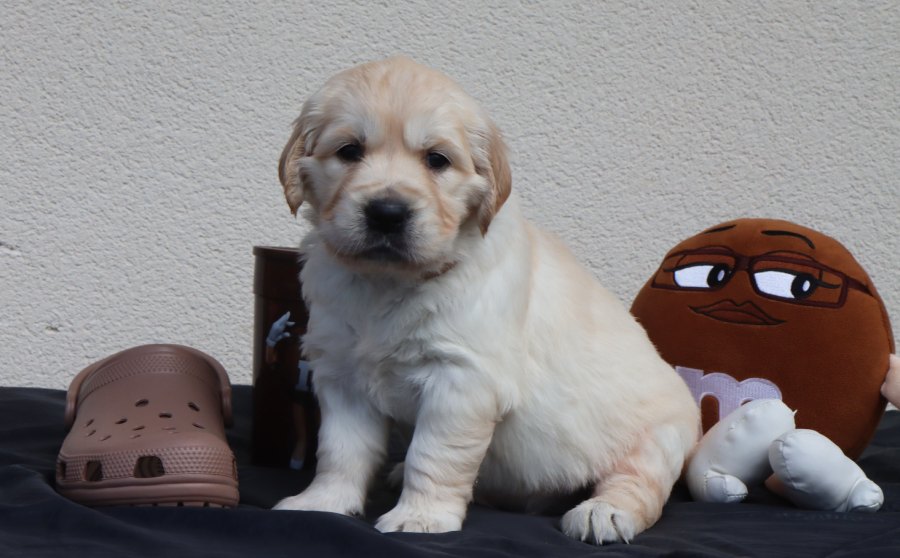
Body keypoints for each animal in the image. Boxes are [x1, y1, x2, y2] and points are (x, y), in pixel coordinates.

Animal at [273, 57, 699, 544]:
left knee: (637, 483)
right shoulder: (343, 375)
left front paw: (421, 517)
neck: (388, 283)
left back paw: (603, 512)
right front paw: (322, 504)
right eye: (349, 151)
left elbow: (433, 455)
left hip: (659, 438)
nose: (387, 213)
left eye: (437, 160)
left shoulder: (462, 379)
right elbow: (340, 451)